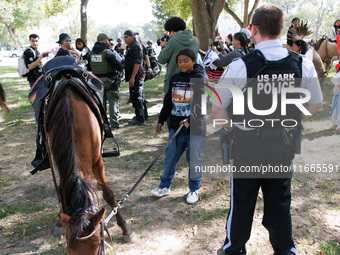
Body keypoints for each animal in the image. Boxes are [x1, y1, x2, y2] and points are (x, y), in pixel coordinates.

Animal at [46, 78, 137, 254]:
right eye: (69, 248)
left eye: (97, 245)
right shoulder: (59, 163)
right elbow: (62, 191)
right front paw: (60, 220)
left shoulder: (97, 161)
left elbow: (108, 194)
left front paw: (125, 228)